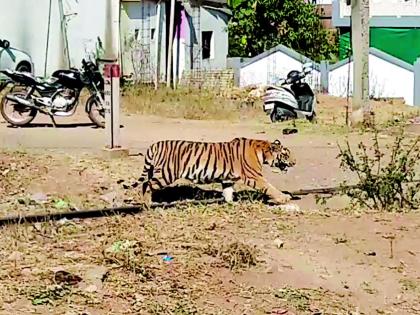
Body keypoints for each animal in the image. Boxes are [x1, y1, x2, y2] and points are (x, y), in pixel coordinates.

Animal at [135, 138, 296, 205]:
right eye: (286, 154)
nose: (294, 162)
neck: (262, 150)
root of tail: (155, 145)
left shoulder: (228, 179)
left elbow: (228, 192)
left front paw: (231, 204)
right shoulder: (254, 177)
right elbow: (270, 187)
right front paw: (284, 198)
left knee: (145, 184)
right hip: (166, 174)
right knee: (146, 185)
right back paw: (147, 204)